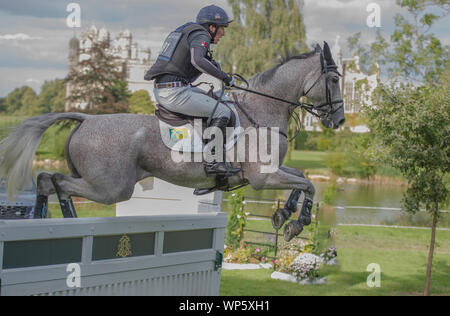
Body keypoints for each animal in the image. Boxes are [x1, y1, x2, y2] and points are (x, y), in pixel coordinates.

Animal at [0, 41, 344, 239]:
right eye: (334, 79)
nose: (339, 120)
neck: (263, 108)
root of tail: (86, 119)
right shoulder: (263, 177)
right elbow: (308, 184)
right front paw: (297, 222)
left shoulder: (271, 173)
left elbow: (302, 178)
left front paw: (285, 214)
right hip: (111, 187)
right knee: (55, 180)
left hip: (97, 180)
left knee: (47, 179)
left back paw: (51, 221)